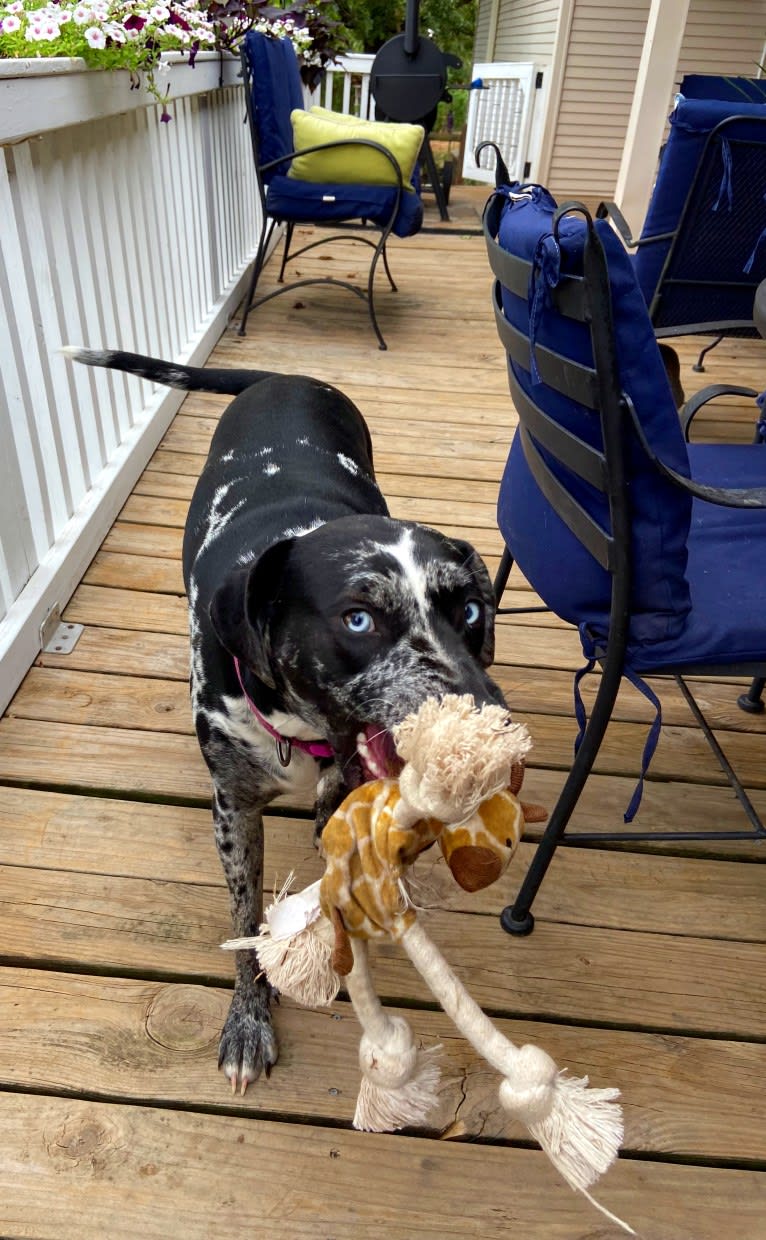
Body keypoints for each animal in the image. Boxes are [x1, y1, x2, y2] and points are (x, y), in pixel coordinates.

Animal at [67, 344, 508, 1091]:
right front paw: (247, 1019)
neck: (304, 731)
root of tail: (280, 377)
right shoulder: (233, 811)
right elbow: (245, 917)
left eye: (471, 610)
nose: (486, 724)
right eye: (358, 619)